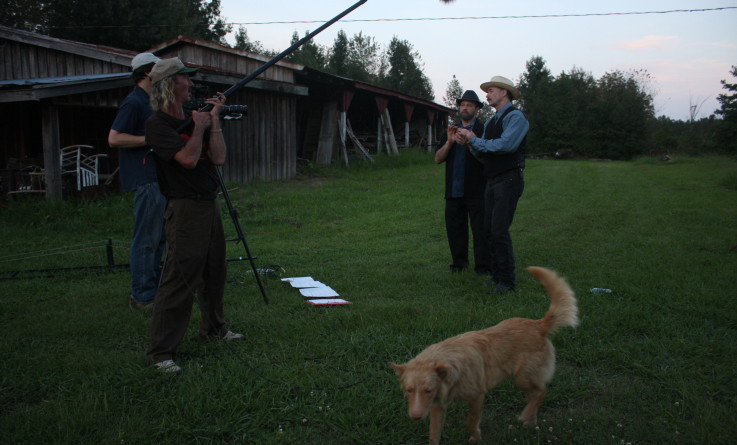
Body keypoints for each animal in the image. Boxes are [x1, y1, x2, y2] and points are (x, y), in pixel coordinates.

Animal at [388, 266, 576, 442]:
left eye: (428, 390)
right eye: (409, 390)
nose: (416, 417)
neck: (449, 366)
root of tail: (538, 325)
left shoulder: (477, 396)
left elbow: (470, 422)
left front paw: (475, 438)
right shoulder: (437, 406)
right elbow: (434, 435)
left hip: (522, 377)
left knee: (541, 393)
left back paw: (525, 416)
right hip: (526, 380)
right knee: (535, 395)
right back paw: (530, 420)